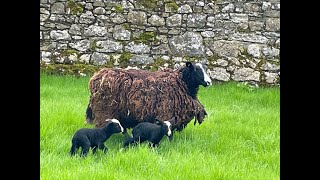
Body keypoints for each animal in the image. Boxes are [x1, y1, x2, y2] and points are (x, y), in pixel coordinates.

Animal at [84, 61, 212, 136]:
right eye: (196, 69)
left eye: (206, 69)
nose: (209, 82)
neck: (181, 82)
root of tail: (96, 77)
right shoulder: (165, 113)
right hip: (104, 112)